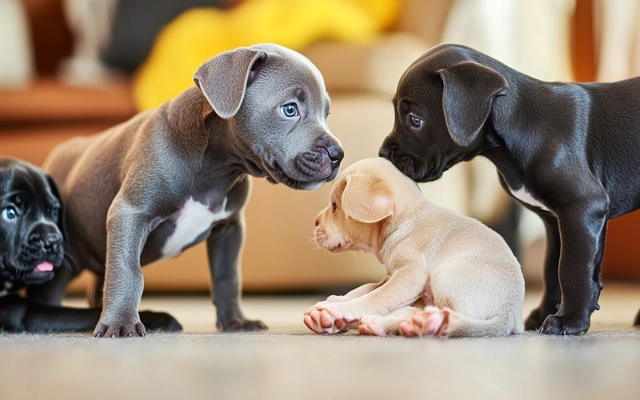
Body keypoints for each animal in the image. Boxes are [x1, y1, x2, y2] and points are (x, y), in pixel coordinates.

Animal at [0, 158, 180, 332]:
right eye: (10, 213)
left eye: (54, 210)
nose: (53, 241)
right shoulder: (20, 311)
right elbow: (78, 314)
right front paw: (155, 317)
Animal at [33, 43, 344, 338]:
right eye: (289, 109)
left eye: (326, 113)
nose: (338, 154)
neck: (216, 168)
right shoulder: (130, 213)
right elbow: (127, 270)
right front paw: (121, 324)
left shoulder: (230, 228)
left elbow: (227, 276)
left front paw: (235, 321)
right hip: (62, 261)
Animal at [304, 158, 524, 336]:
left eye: (334, 206)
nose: (314, 221)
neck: (405, 219)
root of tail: (509, 314)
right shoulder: (391, 275)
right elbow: (366, 288)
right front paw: (335, 302)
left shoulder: (410, 273)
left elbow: (375, 297)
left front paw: (338, 310)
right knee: (410, 312)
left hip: (447, 275)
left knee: (449, 315)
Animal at [378, 43, 640, 334]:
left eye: (415, 120)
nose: (382, 153)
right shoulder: (555, 222)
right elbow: (552, 269)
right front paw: (544, 312)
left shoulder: (581, 208)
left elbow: (573, 269)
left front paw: (569, 320)